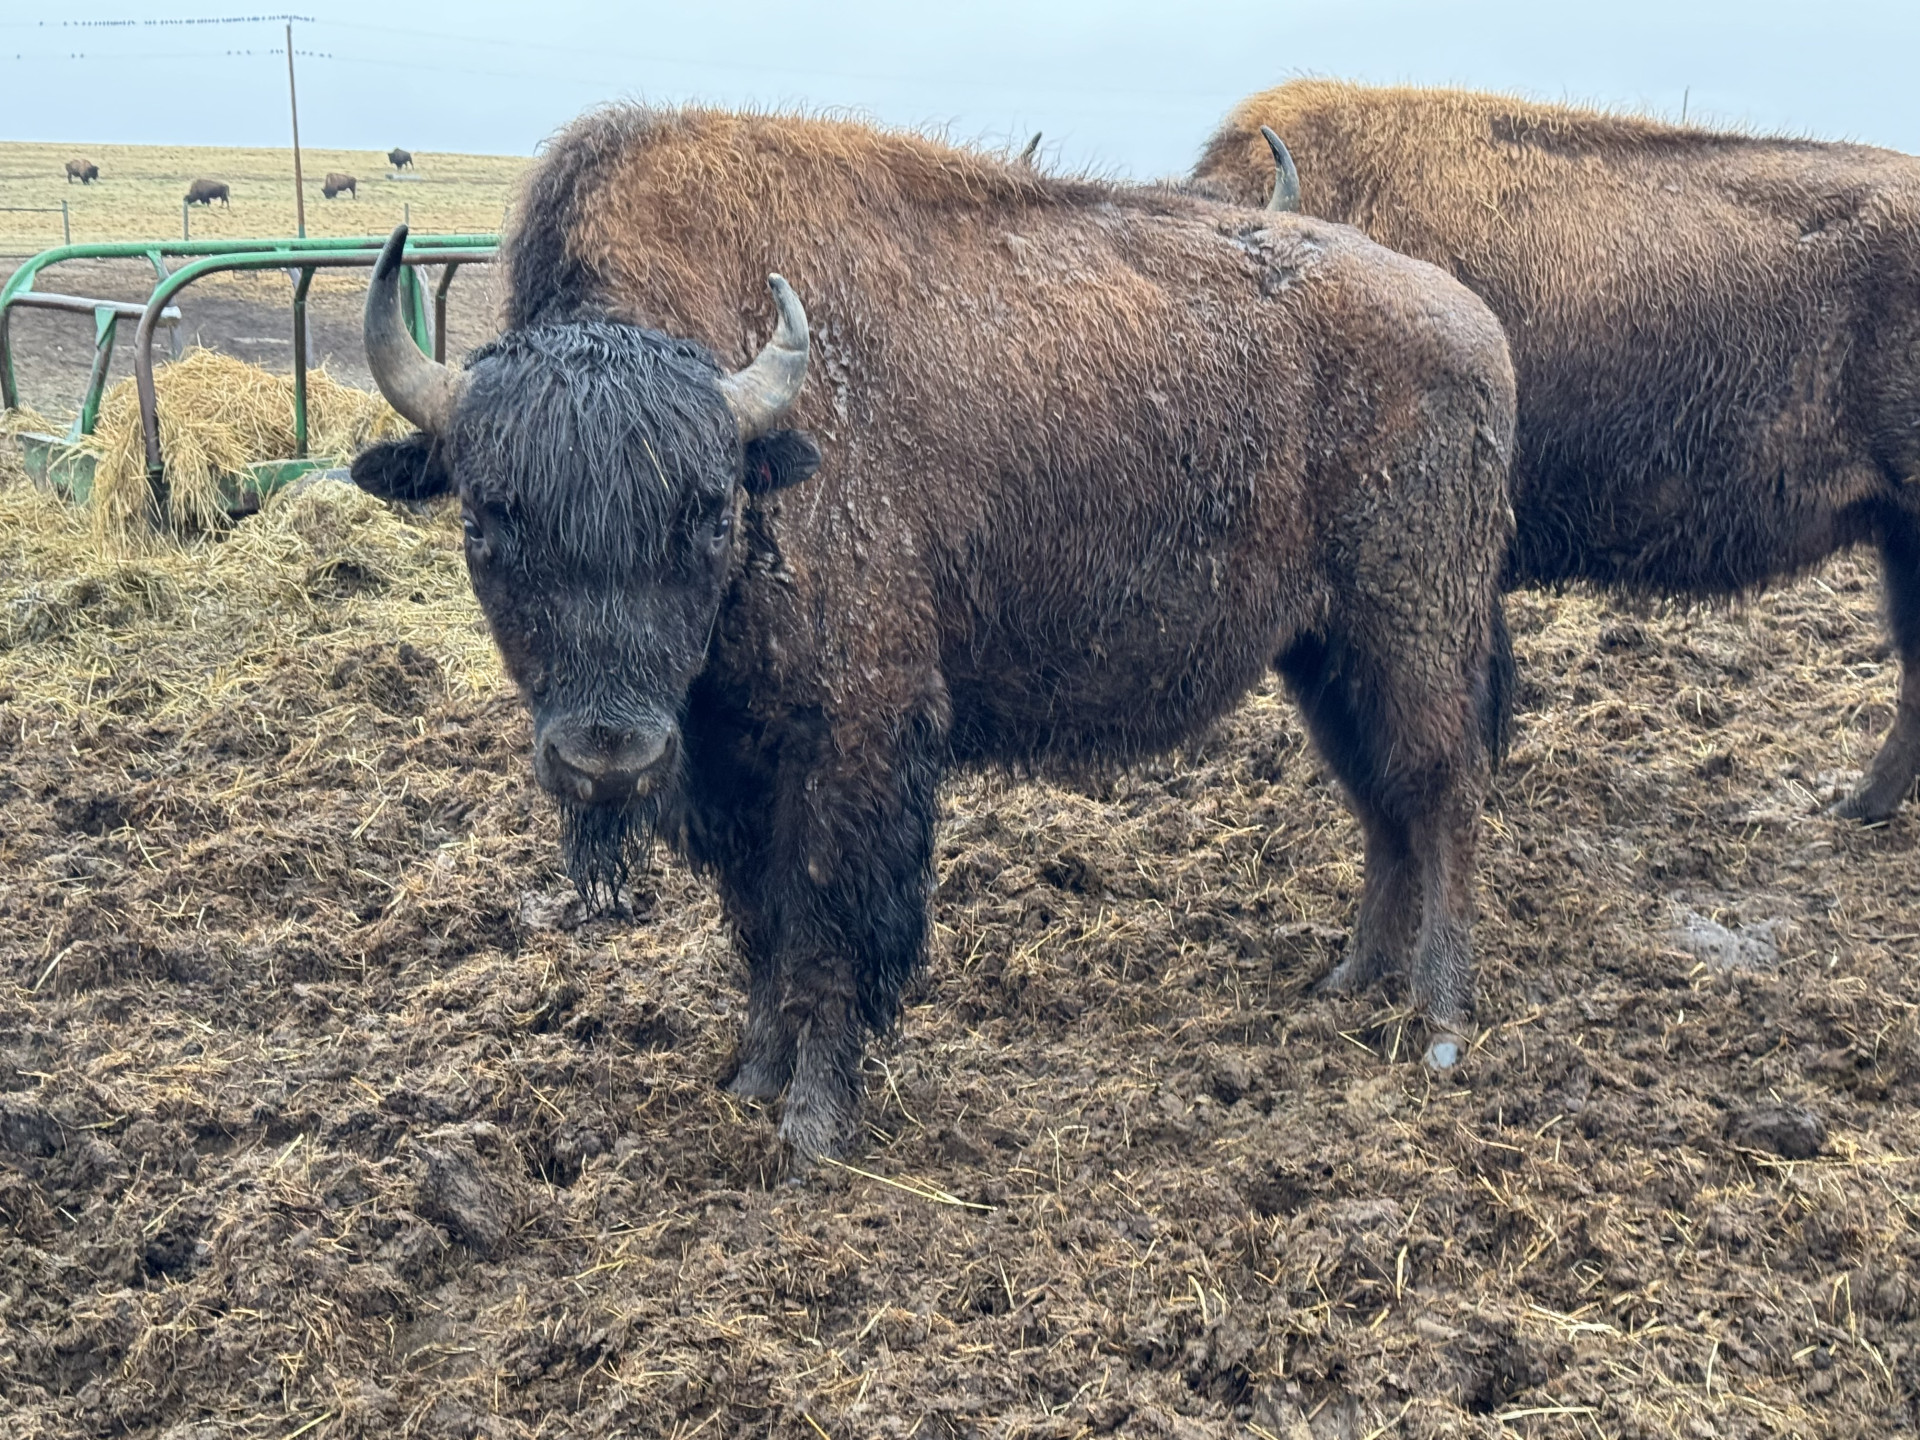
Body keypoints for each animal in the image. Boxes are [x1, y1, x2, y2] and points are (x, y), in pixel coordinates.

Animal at [345, 107, 1512, 1159]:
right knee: (1384, 803)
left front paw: (814, 1126)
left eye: (711, 511)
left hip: (1411, 630)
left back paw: (1440, 1023)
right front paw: (750, 1077)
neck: (764, 441)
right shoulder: (728, 764)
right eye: (484, 517)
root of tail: (1473, 323)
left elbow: (832, 925)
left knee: (1443, 795)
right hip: (1324, 653)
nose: (608, 755)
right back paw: (1348, 983)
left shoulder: (854, 738)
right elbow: (761, 926)